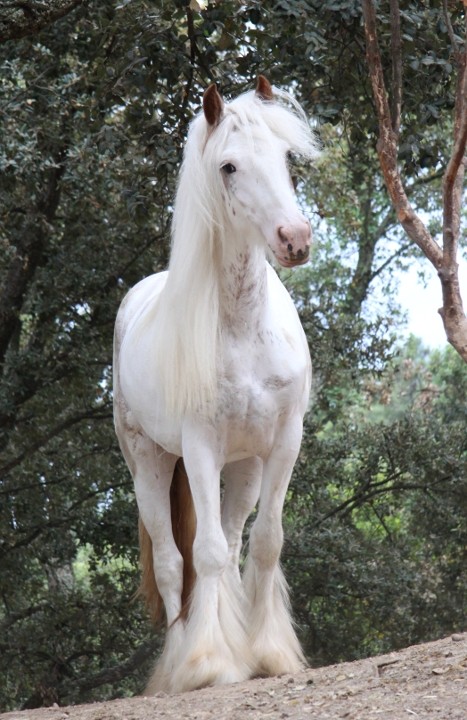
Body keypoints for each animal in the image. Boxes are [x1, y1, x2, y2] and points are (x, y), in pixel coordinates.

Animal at [113, 76, 318, 696]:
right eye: (228, 166)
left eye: (286, 157)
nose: (295, 238)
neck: (243, 327)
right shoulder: (200, 448)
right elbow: (199, 554)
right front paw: (207, 663)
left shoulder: (283, 443)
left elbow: (266, 542)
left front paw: (270, 653)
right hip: (150, 463)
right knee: (174, 563)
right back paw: (180, 661)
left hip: (244, 466)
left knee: (230, 547)